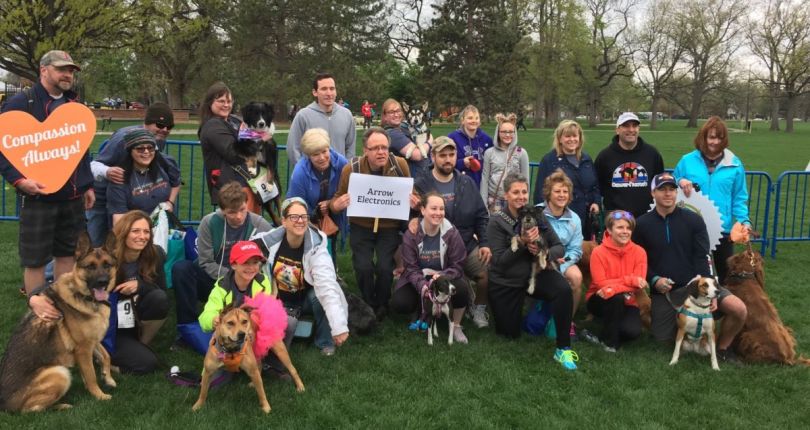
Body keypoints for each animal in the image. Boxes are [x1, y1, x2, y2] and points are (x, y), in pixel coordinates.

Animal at [0, 232, 118, 412]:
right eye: (90, 267)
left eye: (107, 265)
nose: (102, 282)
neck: (81, 294)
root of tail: (3, 404)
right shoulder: (83, 349)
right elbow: (91, 376)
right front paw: (100, 396)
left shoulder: (93, 340)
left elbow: (106, 355)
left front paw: (108, 377)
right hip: (59, 373)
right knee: (32, 410)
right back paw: (62, 405)